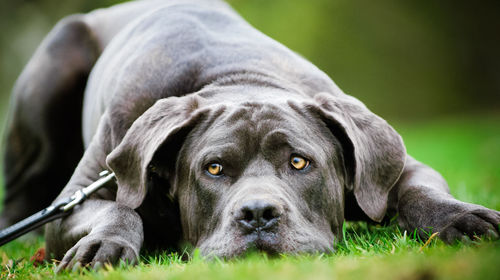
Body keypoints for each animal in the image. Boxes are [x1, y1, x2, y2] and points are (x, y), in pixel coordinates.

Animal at [0, 0, 500, 270]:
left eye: (299, 162)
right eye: (214, 169)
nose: (258, 213)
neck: (238, 79)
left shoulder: (389, 168)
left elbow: (419, 192)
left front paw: (464, 219)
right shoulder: (79, 199)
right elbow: (120, 211)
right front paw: (105, 244)